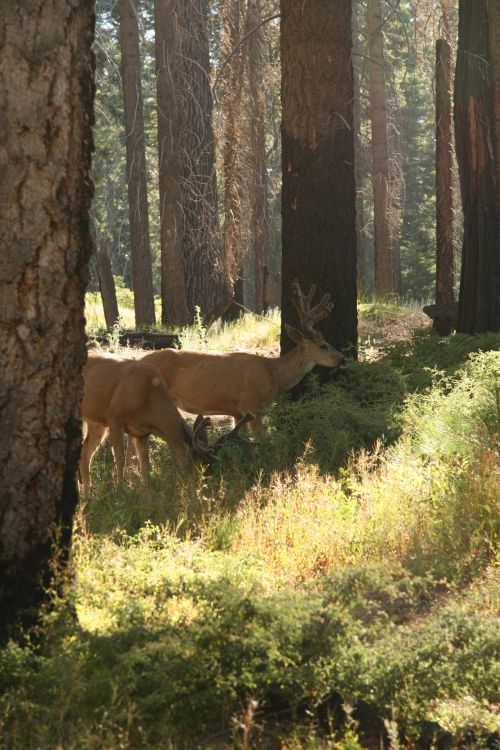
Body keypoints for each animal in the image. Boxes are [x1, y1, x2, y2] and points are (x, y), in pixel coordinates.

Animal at [139, 280, 346, 434]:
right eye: (323, 346)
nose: (342, 359)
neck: (274, 374)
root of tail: (139, 362)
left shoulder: (236, 412)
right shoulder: (252, 405)